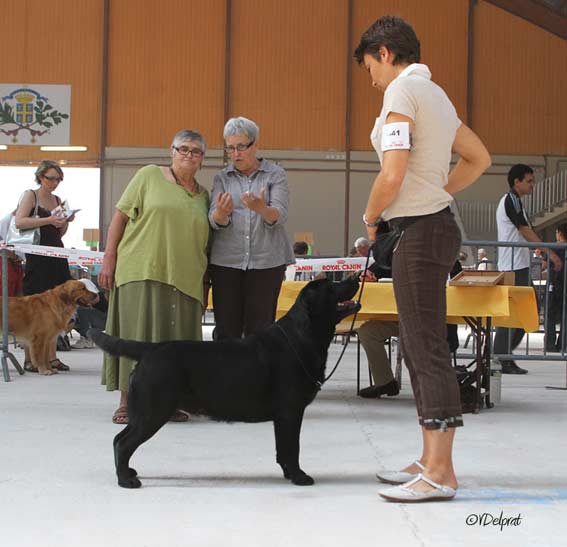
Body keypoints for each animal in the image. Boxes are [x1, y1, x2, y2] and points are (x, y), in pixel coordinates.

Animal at [88, 277, 360, 488]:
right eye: (331, 286)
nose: (356, 277)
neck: (302, 335)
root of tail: (150, 349)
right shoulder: (290, 411)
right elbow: (292, 448)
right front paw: (299, 476)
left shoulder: (285, 416)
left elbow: (283, 449)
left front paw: (288, 474)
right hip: (153, 411)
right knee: (123, 442)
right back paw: (126, 480)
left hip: (148, 411)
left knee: (119, 439)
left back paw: (128, 473)